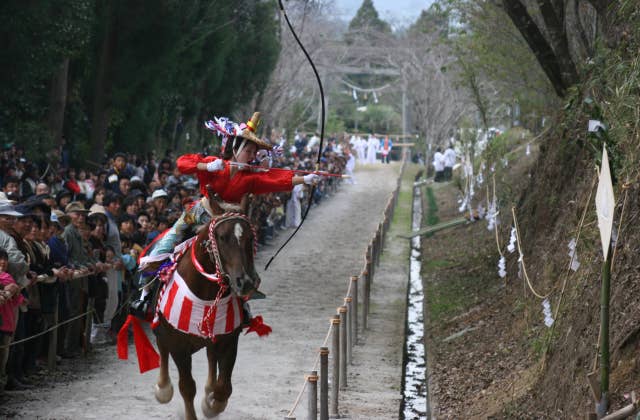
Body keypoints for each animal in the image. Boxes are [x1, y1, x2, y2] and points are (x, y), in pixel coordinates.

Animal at [152, 191, 260, 420]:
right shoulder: (178, 345)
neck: (206, 293)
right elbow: (187, 386)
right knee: (162, 347)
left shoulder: (228, 339)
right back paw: (163, 388)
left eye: (250, 237)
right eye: (222, 237)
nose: (245, 281)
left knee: (211, 358)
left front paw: (211, 403)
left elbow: (224, 387)